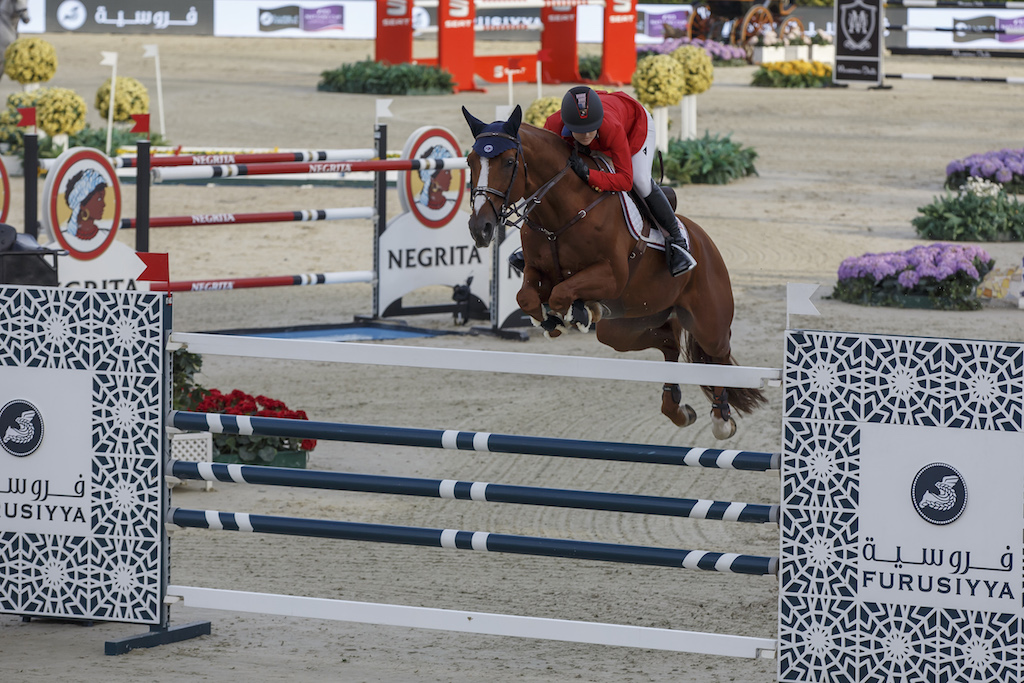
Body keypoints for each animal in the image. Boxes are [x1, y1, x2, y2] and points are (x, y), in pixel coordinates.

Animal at [460, 104, 765, 440]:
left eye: (510, 162)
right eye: (470, 162)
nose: (480, 228)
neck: (560, 213)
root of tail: (704, 241)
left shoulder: (613, 277)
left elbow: (561, 293)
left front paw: (576, 313)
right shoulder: (535, 271)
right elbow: (528, 297)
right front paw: (555, 320)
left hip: (708, 323)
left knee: (718, 356)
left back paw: (721, 419)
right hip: (625, 328)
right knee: (669, 342)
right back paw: (677, 409)